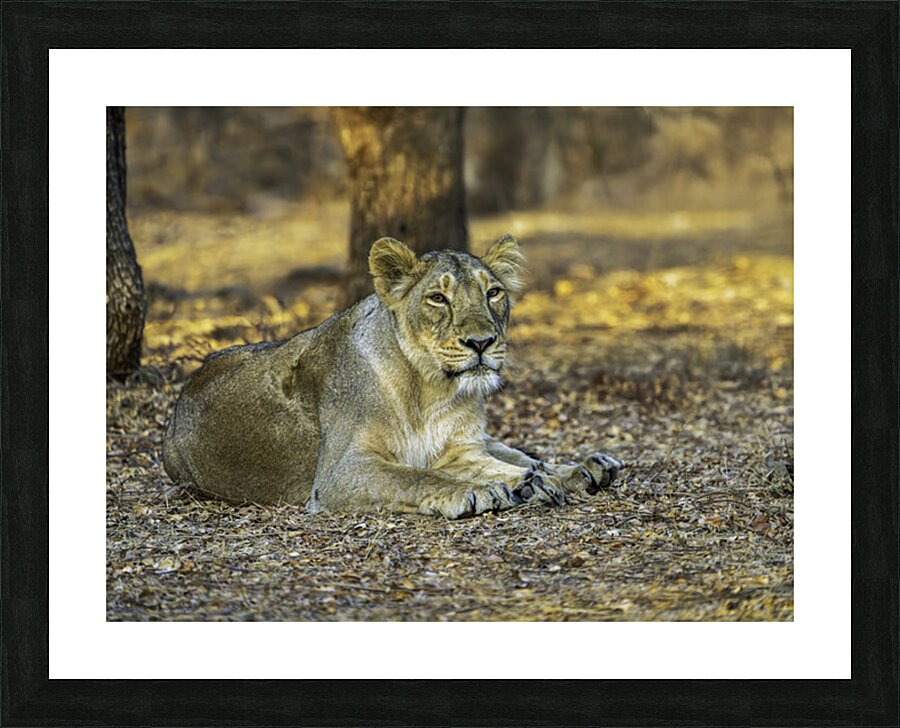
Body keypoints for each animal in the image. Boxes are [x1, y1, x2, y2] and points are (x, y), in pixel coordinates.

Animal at [162, 234, 622, 518]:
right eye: (438, 298)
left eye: (493, 293)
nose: (481, 342)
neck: (431, 390)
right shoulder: (339, 474)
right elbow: (415, 475)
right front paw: (475, 492)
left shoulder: (461, 447)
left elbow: (504, 462)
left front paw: (545, 479)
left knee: (523, 456)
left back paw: (584, 469)